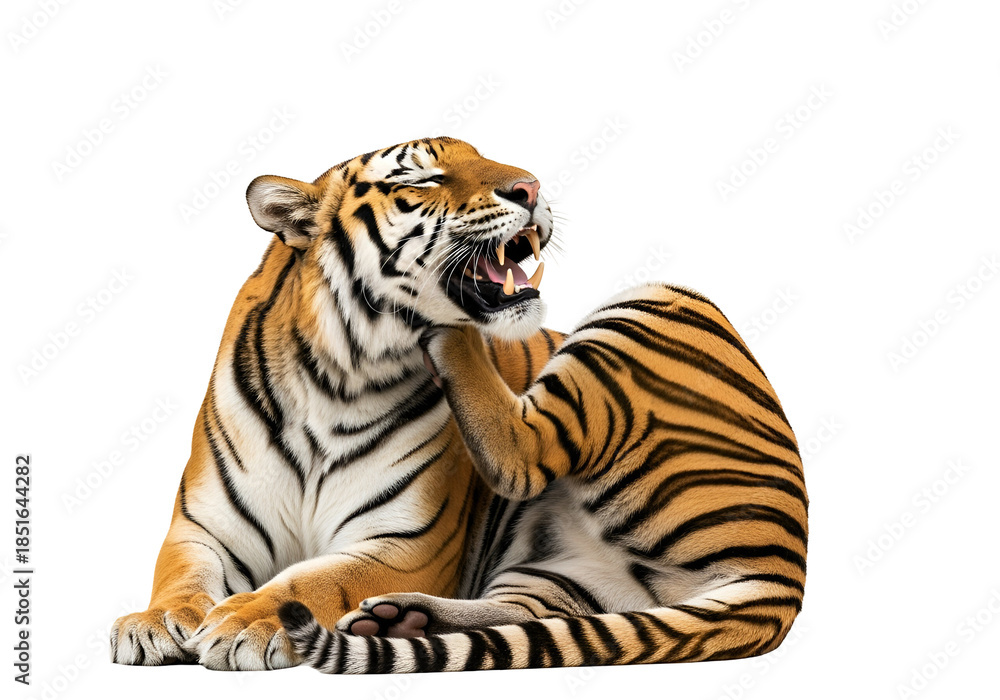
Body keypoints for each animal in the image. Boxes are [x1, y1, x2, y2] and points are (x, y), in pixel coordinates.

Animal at [110, 137, 565, 670]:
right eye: (425, 179)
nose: (530, 187)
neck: (335, 381)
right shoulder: (204, 527)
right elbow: (181, 575)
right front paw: (156, 621)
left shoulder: (401, 543)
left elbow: (312, 580)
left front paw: (244, 620)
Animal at [280, 282, 809, 672]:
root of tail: (786, 574)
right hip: (565, 577)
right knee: (518, 615)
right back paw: (403, 620)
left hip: (654, 305)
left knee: (525, 451)